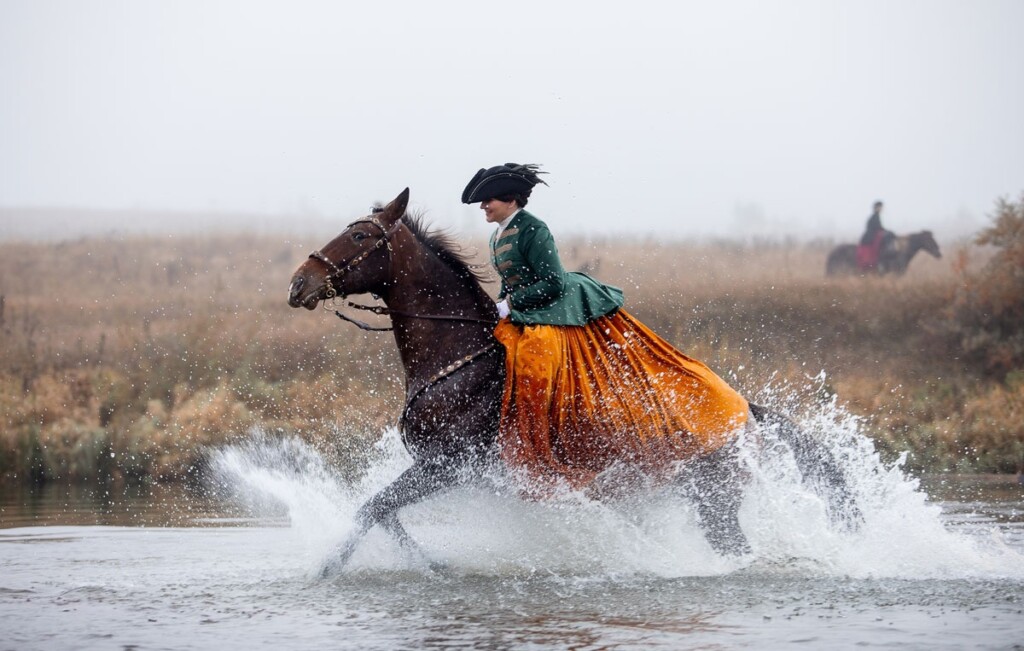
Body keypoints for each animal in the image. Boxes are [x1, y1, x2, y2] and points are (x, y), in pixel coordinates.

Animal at [288, 188, 856, 573]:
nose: (299, 283)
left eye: (360, 235)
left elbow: (371, 509)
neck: (459, 357)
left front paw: (330, 569)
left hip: (714, 502)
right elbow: (379, 512)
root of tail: (748, 414)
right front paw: (430, 566)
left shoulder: (447, 466)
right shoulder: (447, 471)